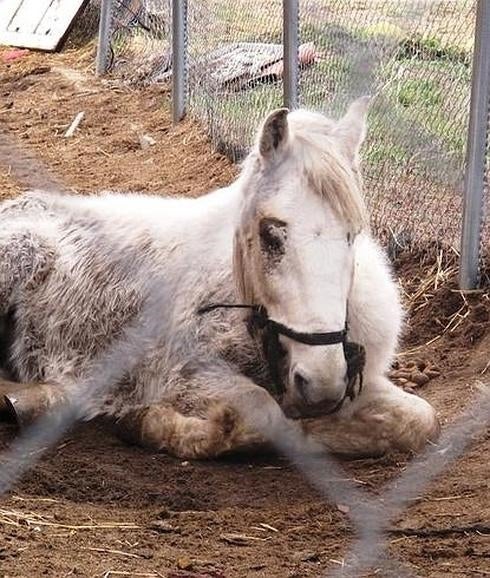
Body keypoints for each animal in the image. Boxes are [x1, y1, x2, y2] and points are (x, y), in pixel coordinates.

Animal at [0, 100, 440, 460]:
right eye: (270, 233)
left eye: (351, 233)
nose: (322, 381)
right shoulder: (186, 375)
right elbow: (268, 418)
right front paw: (146, 422)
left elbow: (422, 420)